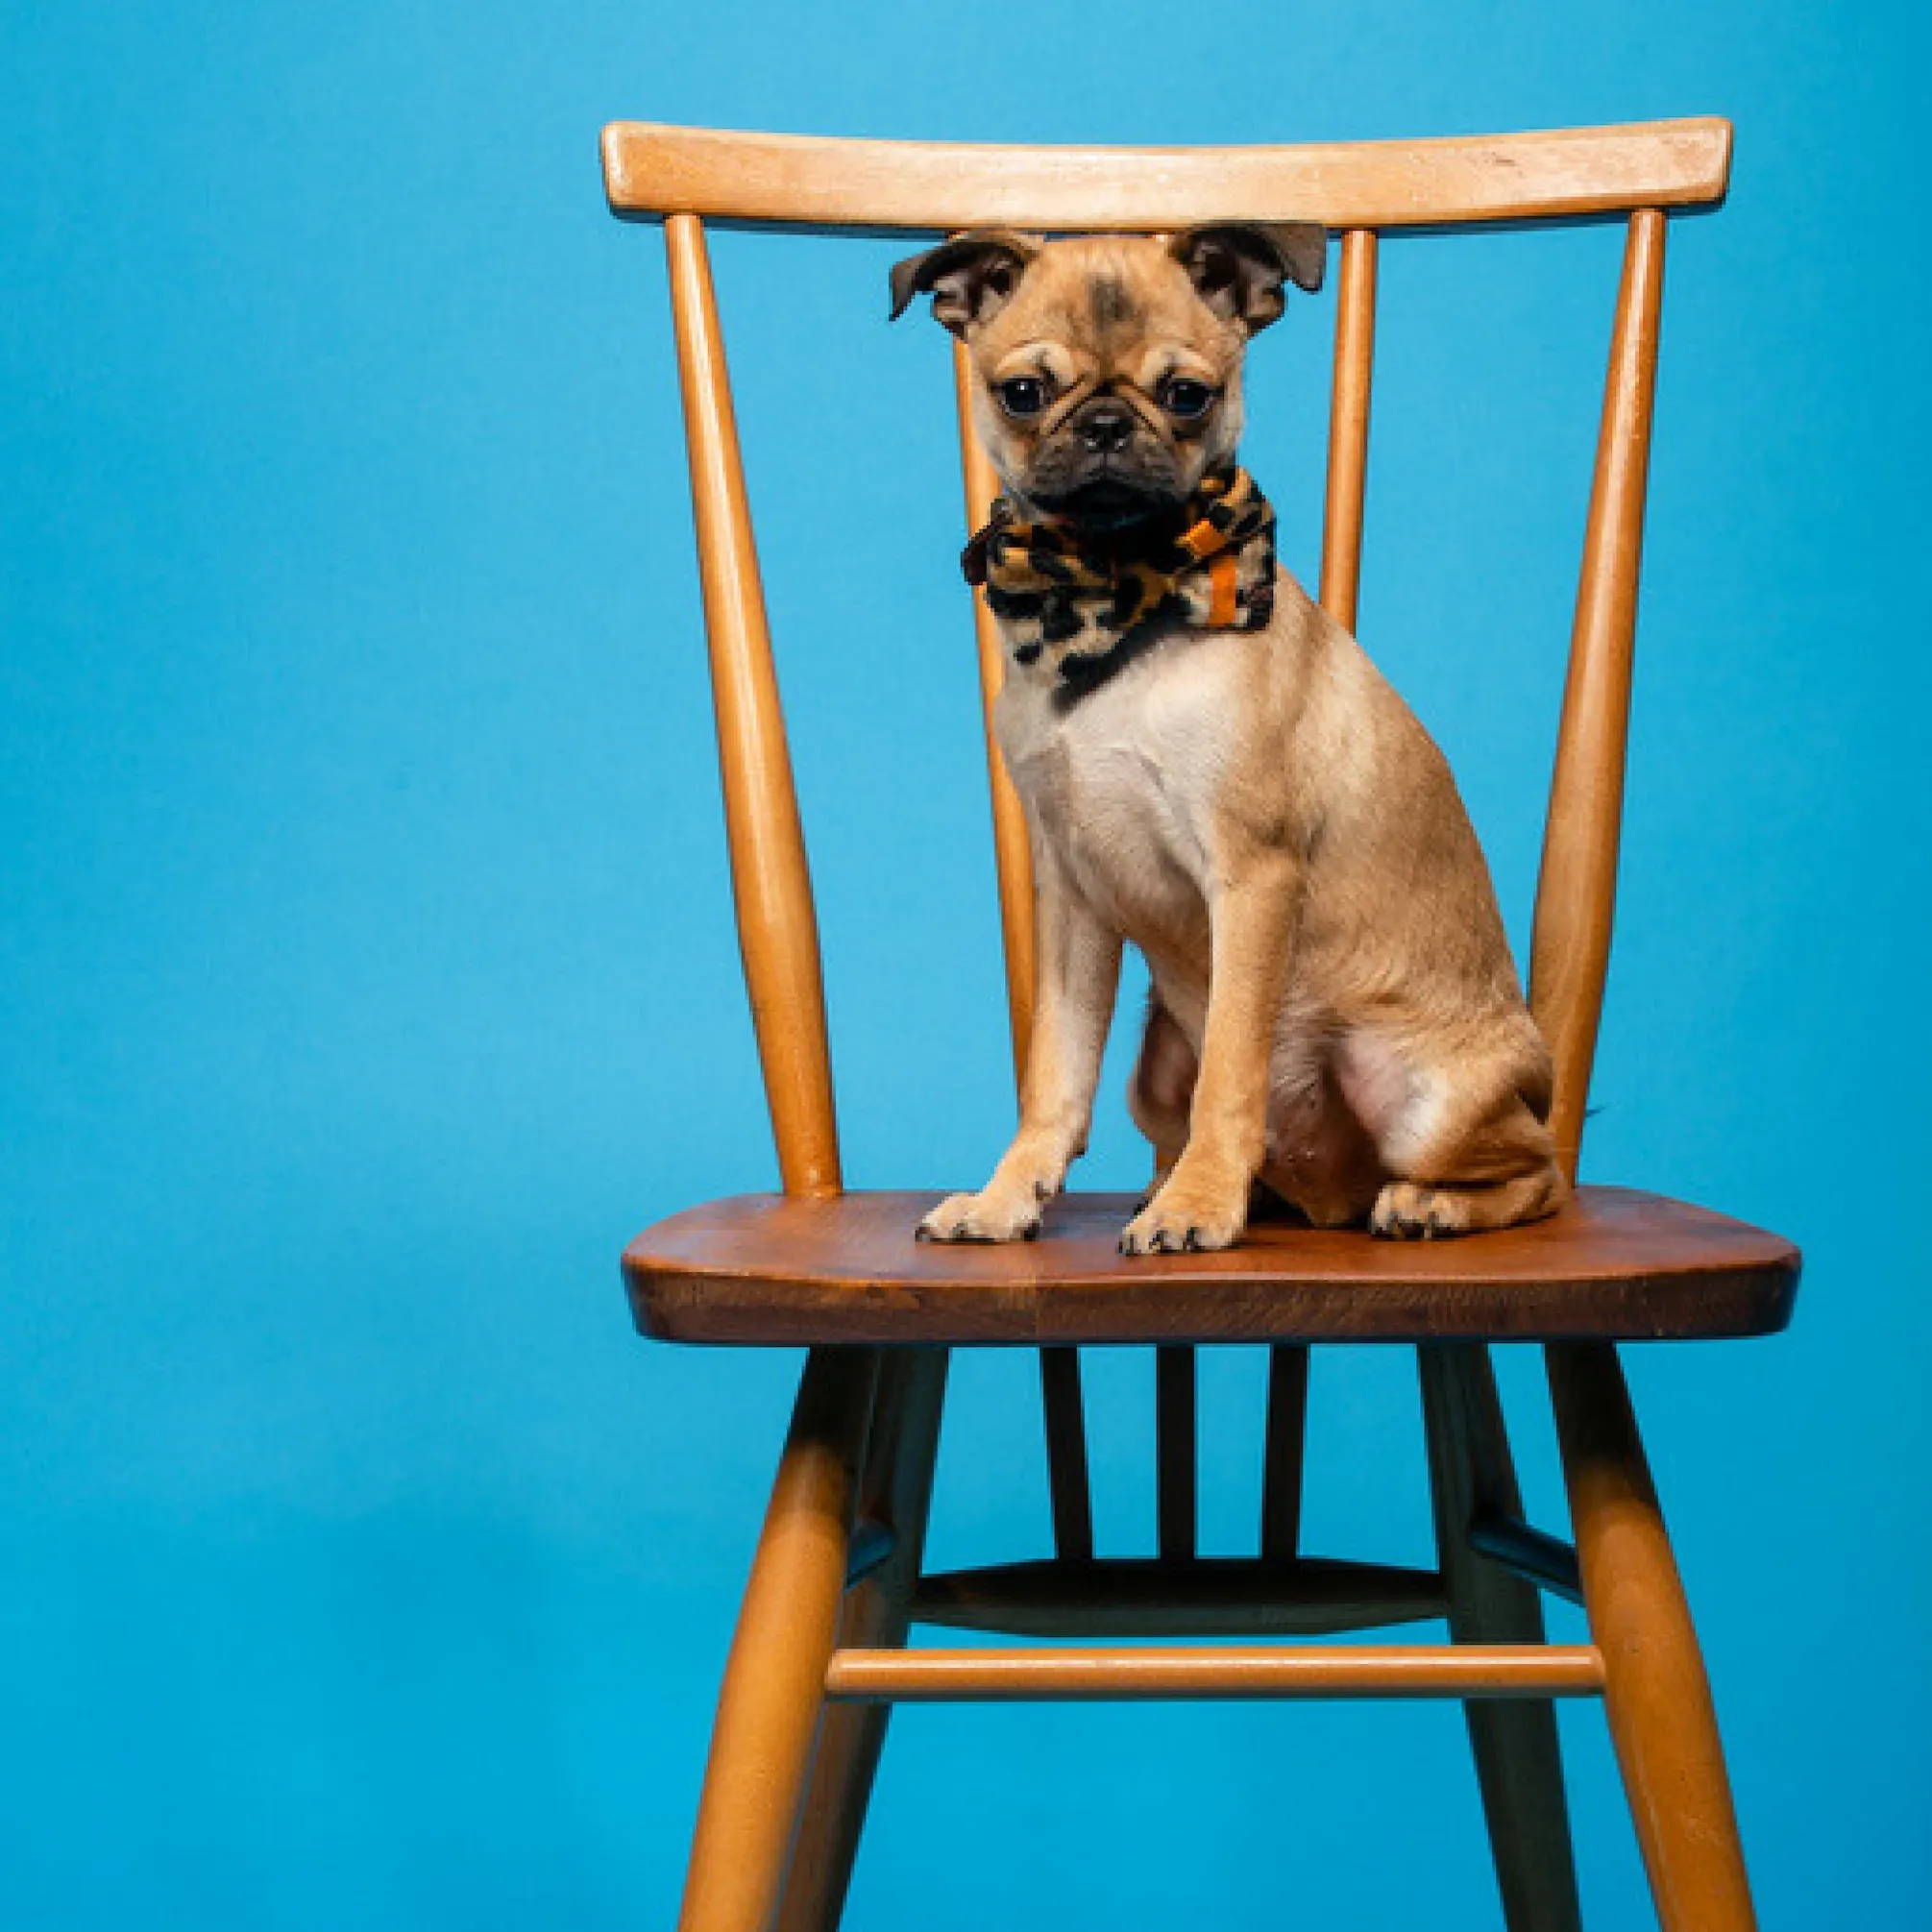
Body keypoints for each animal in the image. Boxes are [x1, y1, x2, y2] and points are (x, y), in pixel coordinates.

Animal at [889, 226, 1568, 1252]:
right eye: (1023, 392)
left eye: (1185, 395)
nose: (1104, 425)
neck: (1112, 600)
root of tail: (1328, 1195)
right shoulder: (1071, 897)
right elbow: (1054, 1074)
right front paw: (1007, 1197)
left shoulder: (1251, 880)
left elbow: (1232, 1073)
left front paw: (1201, 1206)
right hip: (1153, 1065)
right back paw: (1176, 1188)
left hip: (1428, 1100)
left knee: (1540, 1171)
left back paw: (1422, 1204)